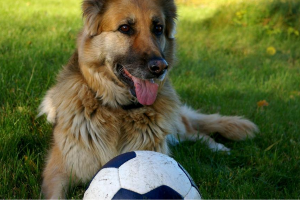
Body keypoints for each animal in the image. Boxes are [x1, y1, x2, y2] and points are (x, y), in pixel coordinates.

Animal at [38, 0, 258, 198]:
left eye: (158, 28)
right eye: (125, 28)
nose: (160, 67)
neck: (118, 110)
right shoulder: (57, 173)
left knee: (195, 132)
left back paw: (218, 147)